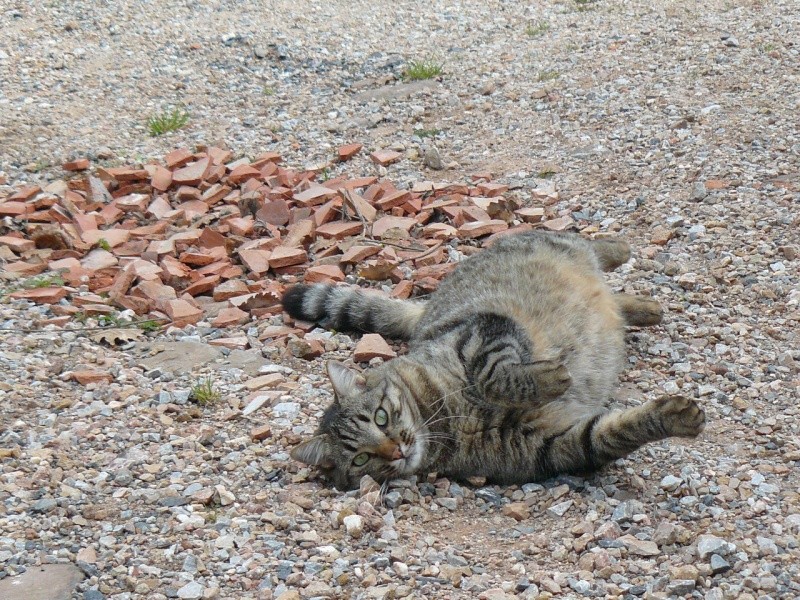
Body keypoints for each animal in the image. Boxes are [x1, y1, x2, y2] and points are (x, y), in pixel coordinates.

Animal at [282, 232, 708, 490]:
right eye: (361, 459)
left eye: (381, 418)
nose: (397, 450)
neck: (447, 420)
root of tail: (424, 311)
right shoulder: (551, 444)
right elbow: (613, 432)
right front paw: (677, 417)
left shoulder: (484, 331)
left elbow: (491, 373)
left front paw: (550, 378)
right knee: (612, 297)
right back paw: (644, 308)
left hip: (545, 246)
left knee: (579, 241)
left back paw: (619, 251)